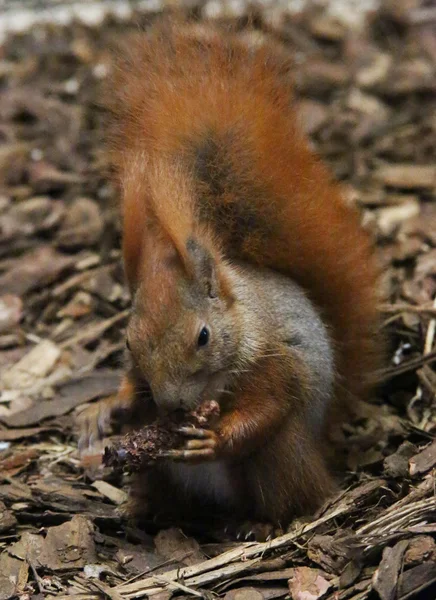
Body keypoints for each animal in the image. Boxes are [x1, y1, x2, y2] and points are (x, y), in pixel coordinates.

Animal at [78, 19, 382, 528]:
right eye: (129, 343)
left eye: (203, 336)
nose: (173, 408)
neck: (240, 317)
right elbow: (130, 386)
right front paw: (103, 407)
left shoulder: (275, 360)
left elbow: (269, 406)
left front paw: (214, 440)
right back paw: (145, 510)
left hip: (281, 457)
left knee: (292, 488)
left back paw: (262, 523)